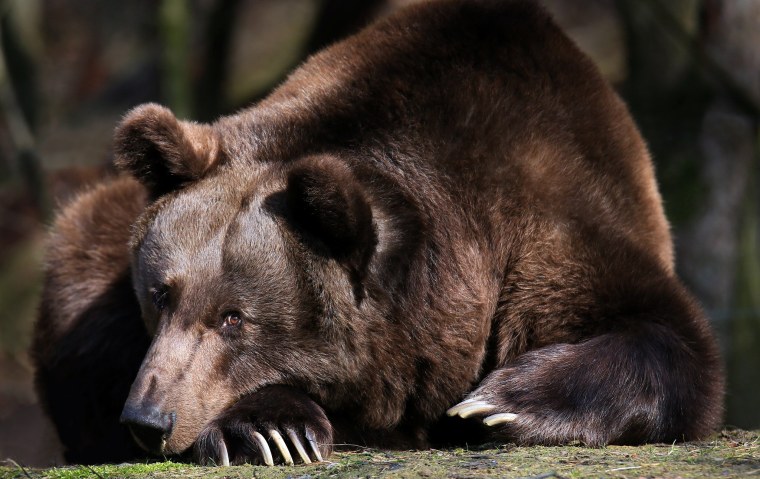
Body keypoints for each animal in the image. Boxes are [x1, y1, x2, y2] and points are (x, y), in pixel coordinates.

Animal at [33, 0, 724, 466]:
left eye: (235, 317)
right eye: (160, 294)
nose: (149, 418)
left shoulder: (557, 212)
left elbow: (670, 338)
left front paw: (501, 403)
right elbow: (94, 345)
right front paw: (267, 428)